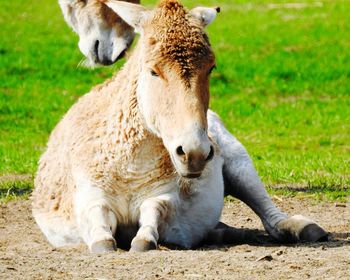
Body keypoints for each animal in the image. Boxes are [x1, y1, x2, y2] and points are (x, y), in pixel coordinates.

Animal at [32, 0, 328, 253]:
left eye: (211, 67)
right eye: (153, 70)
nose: (195, 152)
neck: (129, 166)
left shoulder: (166, 194)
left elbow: (154, 209)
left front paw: (144, 240)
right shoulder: (89, 198)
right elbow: (99, 221)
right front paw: (104, 242)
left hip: (239, 162)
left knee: (267, 210)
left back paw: (300, 228)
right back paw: (229, 233)